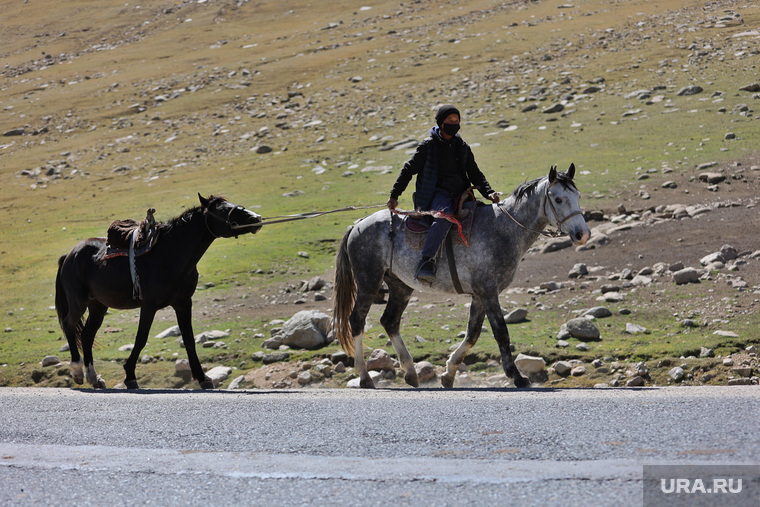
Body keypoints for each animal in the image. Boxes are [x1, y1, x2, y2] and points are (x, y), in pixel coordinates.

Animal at [55, 194, 262, 388]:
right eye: (222, 209)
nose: (257, 218)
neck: (170, 255)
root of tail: (69, 255)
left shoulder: (183, 303)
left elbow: (189, 339)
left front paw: (203, 378)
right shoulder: (149, 306)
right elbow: (141, 339)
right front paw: (130, 376)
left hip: (98, 306)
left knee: (86, 335)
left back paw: (94, 378)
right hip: (78, 302)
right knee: (69, 326)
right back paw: (77, 372)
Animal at [332, 164, 588, 388]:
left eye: (577, 195)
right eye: (558, 199)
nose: (582, 234)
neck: (503, 229)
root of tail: (357, 225)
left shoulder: (479, 295)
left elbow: (472, 334)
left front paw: (448, 374)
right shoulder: (488, 292)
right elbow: (501, 333)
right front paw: (517, 377)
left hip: (400, 286)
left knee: (390, 320)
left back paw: (411, 373)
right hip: (369, 282)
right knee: (357, 320)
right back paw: (365, 377)